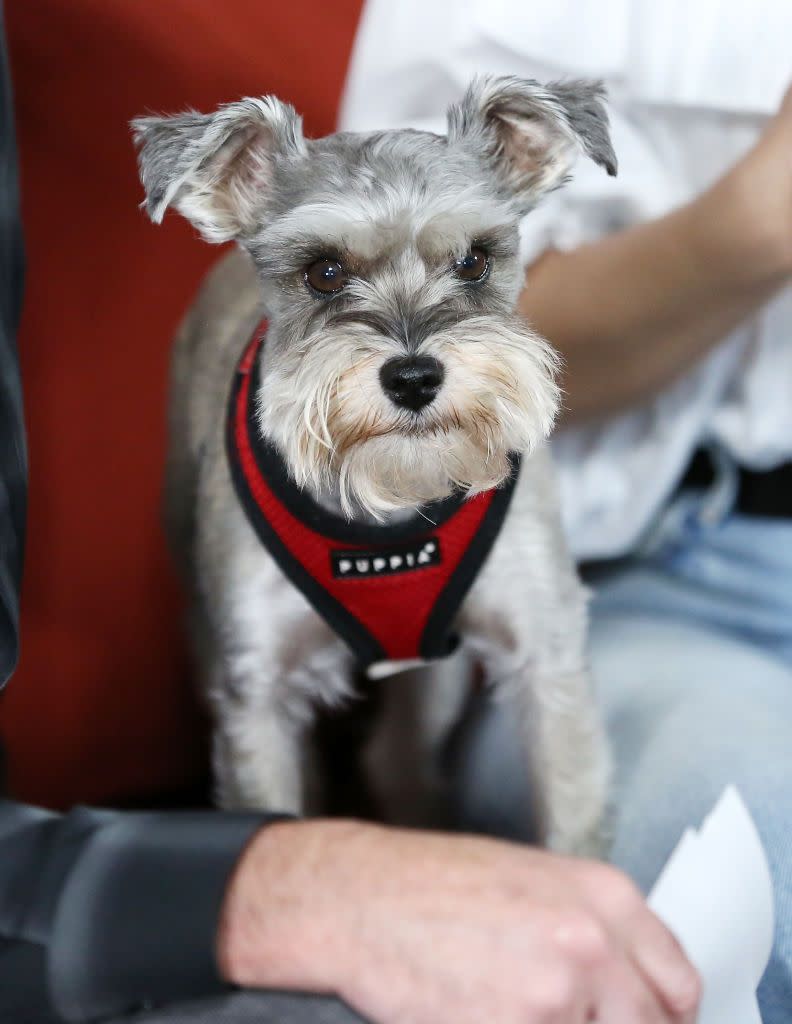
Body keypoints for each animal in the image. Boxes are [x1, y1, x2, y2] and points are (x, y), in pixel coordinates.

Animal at [131, 75, 610, 851]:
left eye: (474, 260)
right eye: (324, 272)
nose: (414, 378)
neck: (391, 509)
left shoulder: (546, 653)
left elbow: (571, 818)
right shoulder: (258, 696)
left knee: (398, 760)